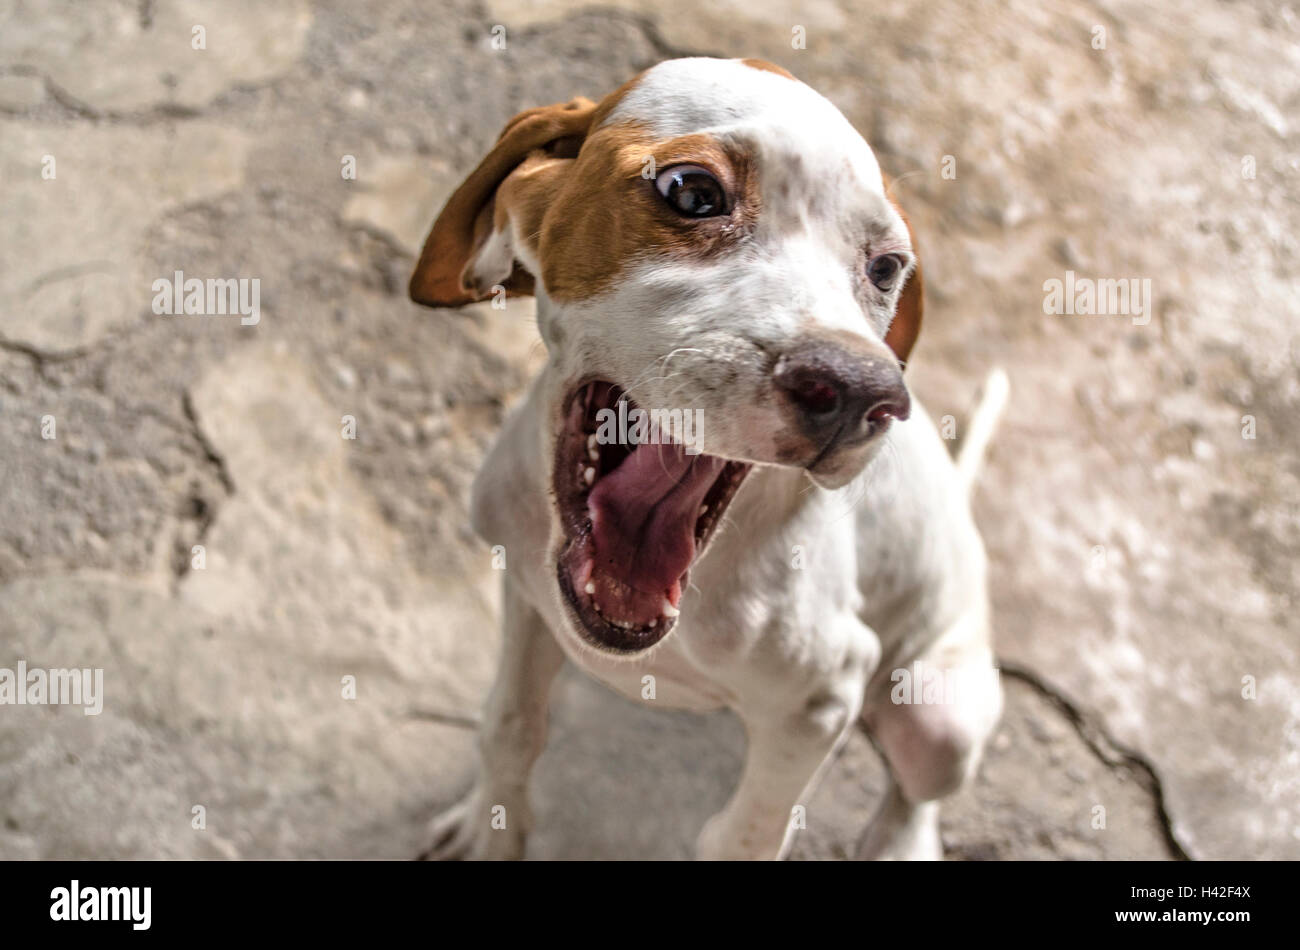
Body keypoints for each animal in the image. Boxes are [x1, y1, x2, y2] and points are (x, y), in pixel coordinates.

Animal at [410, 57, 1008, 862]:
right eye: (692, 192)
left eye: (886, 268)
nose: (865, 393)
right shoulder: (526, 595)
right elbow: (510, 723)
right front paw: (490, 827)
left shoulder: (820, 702)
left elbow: (745, 835)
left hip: (936, 719)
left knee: (917, 795)